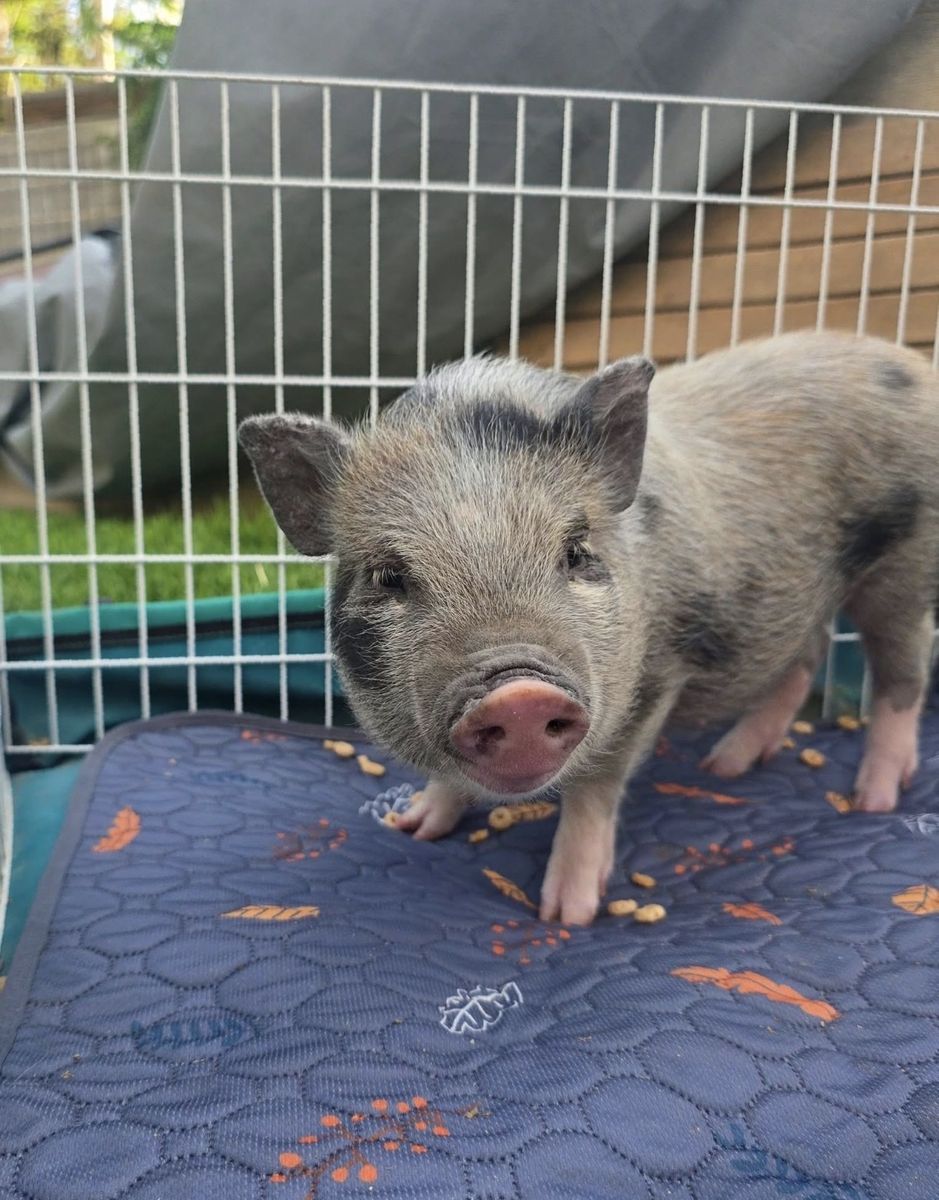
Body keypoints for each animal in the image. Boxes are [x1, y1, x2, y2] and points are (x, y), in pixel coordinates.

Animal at [239, 331, 939, 926]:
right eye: (388, 575)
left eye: (576, 552)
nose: (517, 693)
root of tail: (914, 364)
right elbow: (450, 781)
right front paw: (412, 826)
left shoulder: (652, 681)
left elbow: (595, 788)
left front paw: (565, 915)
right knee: (806, 653)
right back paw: (725, 767)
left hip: (904, 567)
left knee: (902, 673)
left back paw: (873, 798)